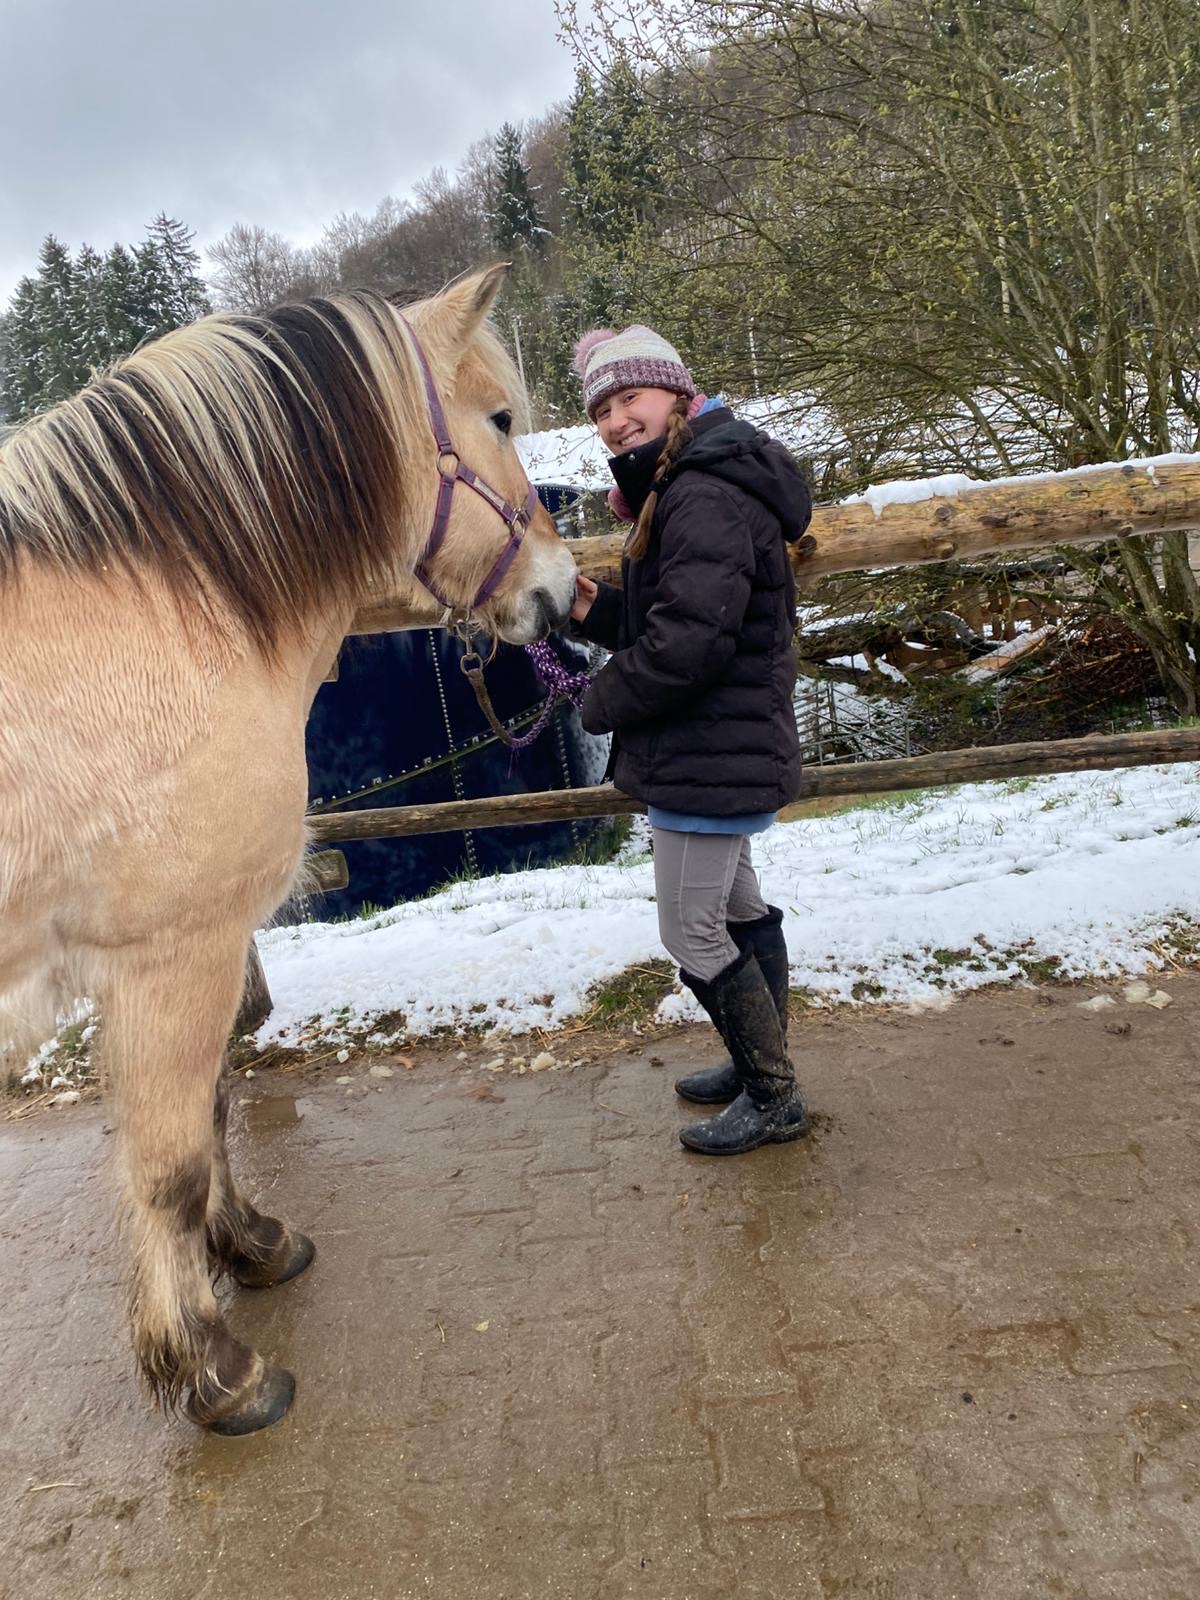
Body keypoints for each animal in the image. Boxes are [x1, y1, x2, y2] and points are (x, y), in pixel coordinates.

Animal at [0, 264, 577, 1435]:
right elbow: (170, 1163)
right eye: (500, 417)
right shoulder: (177, 953)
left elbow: (210, 1109)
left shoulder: (193, 955)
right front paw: (211, 1367)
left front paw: (249, 1246)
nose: (563, 581)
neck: (153, 617)